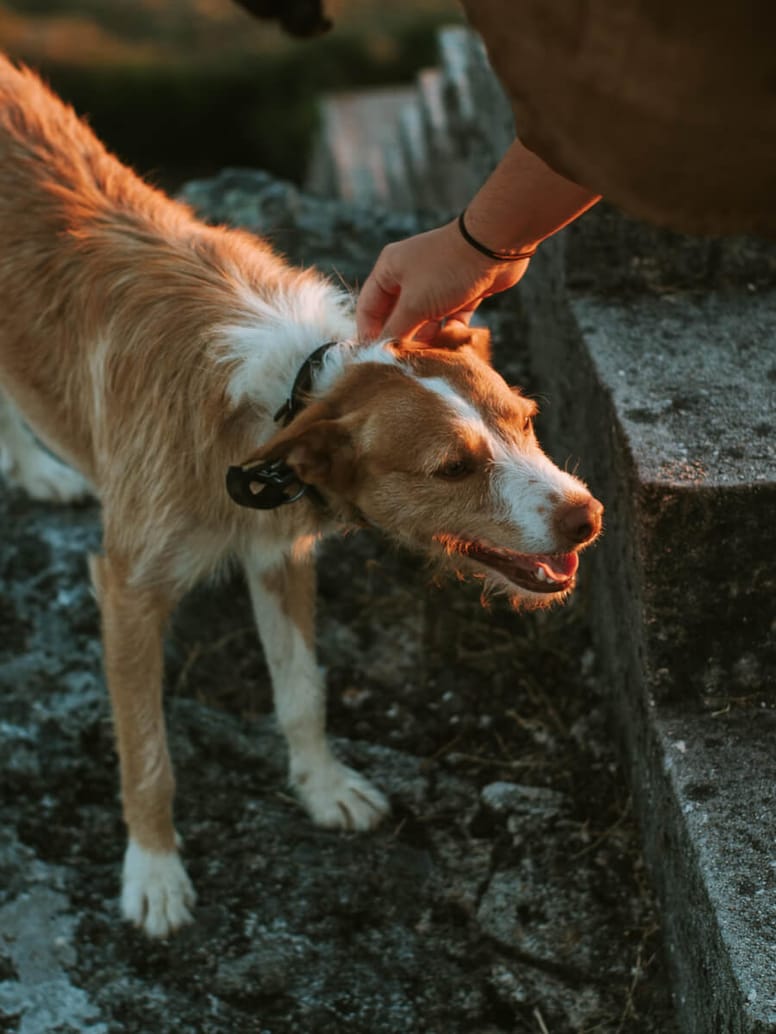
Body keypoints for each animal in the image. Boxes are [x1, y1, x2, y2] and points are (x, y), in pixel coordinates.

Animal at [0, 60, 604, 943]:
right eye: (452, 468)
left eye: (525, 420)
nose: (587, 518)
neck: (290, 392)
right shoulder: (131, 586)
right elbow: (147, 752)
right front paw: (155, 872)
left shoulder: (277, 548)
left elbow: (302, 691)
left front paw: (323, 787)